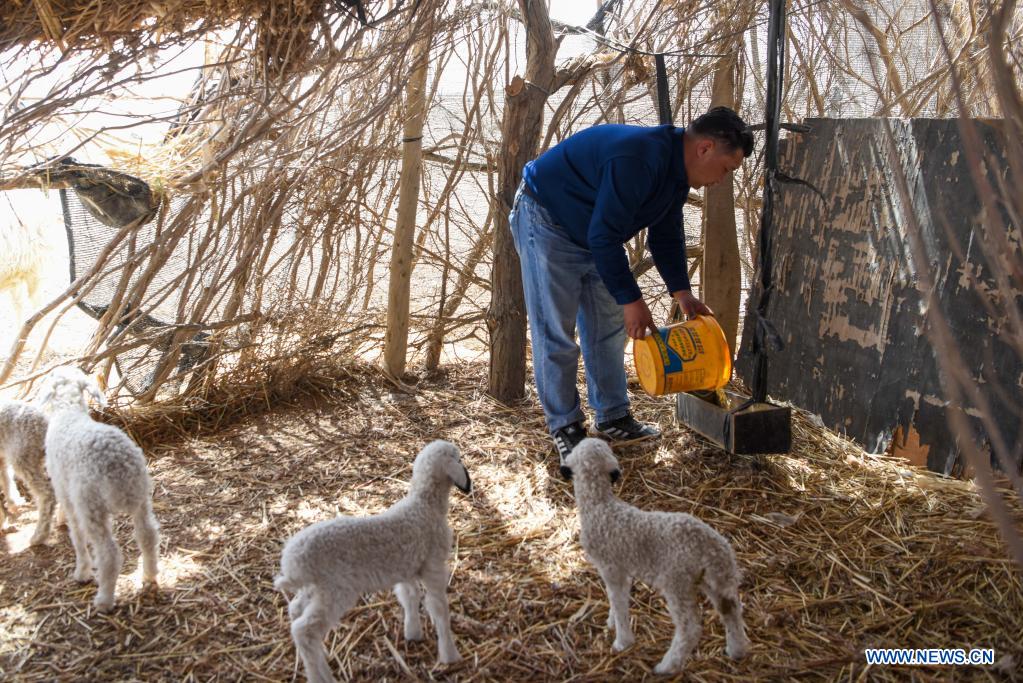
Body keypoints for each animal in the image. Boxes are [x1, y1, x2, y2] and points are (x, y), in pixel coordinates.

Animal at [0, 400, 56, 543]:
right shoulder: (1, 457)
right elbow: (5, 478)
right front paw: (13, 504)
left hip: (23, 457)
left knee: (47, 493)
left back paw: (39, 536)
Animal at [41, 366, 159, 609]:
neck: (68, 411)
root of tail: (120, 467)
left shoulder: (65, 489)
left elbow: (76, 535)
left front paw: (82, 572)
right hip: (142, 498)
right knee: (148, 536)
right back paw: (150, 575)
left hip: (91, 505)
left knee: (109, 554)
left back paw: (104, 599)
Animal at [272, 439, 470, 678]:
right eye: (458, 458)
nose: (467, 483)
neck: (423, 504)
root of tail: (292, 564)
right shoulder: (433, 565)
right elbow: (439, 608)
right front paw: (450, 654)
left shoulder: (406, 567)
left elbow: (409, 596)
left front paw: (412, 632)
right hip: (336, 590)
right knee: (304, 630)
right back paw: (321, 676)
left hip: (315, 588)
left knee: (295, 611)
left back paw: (320, 656)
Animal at [564, 439, 748, 674]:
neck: (600, 505)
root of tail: (714, 549)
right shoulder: (623, 569)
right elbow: (617, 598)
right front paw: (612, 621)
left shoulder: (611, 567)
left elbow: (618, 600)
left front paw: (622, 641)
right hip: (712, 581)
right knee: (731, 610)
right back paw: (737, 650)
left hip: (677, 581)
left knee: (690, 628)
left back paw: (666, 667)